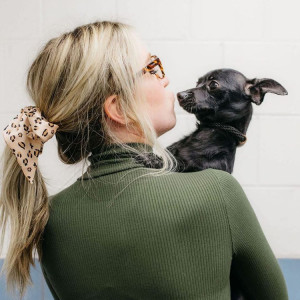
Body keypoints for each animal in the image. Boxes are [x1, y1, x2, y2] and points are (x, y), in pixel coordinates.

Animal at [135, 68, 288, 300]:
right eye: (198, 82)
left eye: (213, 85)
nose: (180, 94)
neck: (211, 133)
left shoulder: (197, 167)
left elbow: (178, 164)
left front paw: (153, 159)